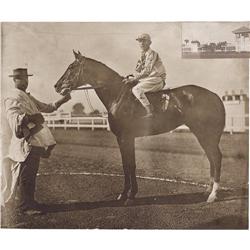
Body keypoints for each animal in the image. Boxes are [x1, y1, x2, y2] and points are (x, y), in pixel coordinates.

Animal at [53, 50, 226, 205]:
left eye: (71, 67)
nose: (56, 86)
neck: (118, 96)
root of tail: (215, 96)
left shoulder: (127, 137)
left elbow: (131, 165)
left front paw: (130, 196)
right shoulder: (122, 138)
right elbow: (126, 165)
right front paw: (125, 194)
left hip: (206, 134)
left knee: (216, 158)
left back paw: (213, 195)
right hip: (202, 134)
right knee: (211, 158)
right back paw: (207, 191)